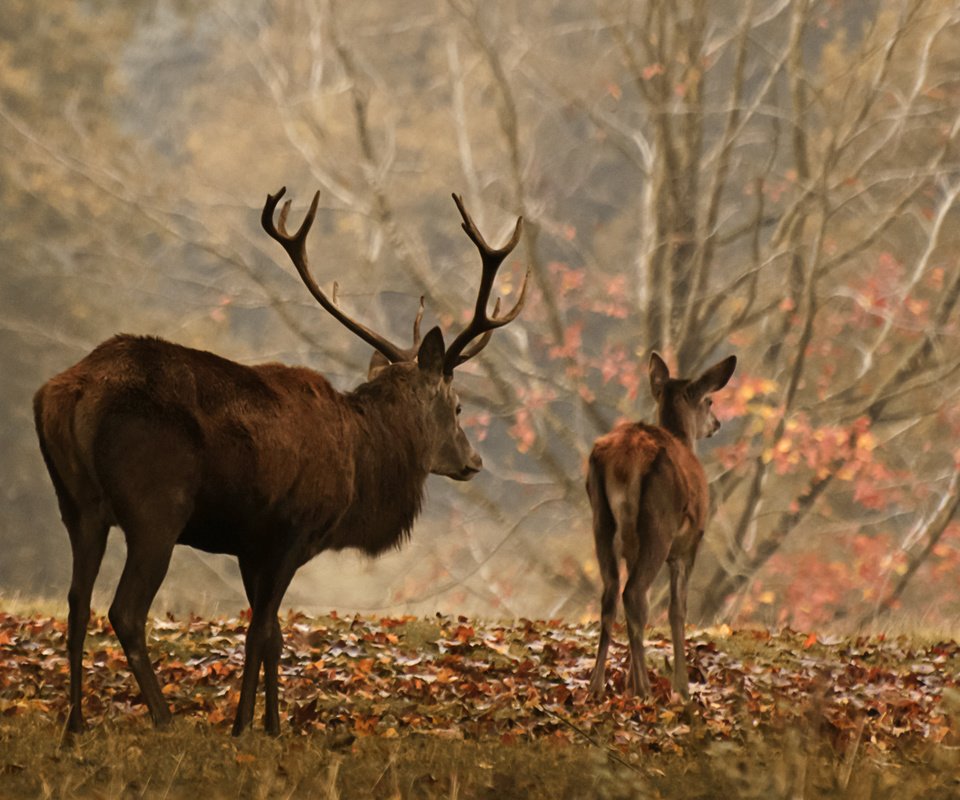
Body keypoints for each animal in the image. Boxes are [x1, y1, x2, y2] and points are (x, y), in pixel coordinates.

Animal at [31, 188, 524, 736]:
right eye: (457, 407)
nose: (473, 460)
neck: (361, 465)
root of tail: (68, 391)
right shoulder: (291, 530)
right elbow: (263, 630)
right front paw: (248, 726)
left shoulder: (251, 544)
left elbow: (273, 635)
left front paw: (268, 724)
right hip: (156, 506)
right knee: (125, 610)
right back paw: (164, 718)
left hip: (76, 504)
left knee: (77, 604)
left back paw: (74, 726)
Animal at [584, 354, 736, 696]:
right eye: (709, 400)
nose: (717, 424)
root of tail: (626, 460)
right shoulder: (690, 543)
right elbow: (677, 609)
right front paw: (682, 685)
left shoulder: (631, 547)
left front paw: (627, 679)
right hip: (660, 522)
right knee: (633, 593)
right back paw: (644, 689)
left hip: (602, 519)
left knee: (612, 593)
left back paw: (598, 685)